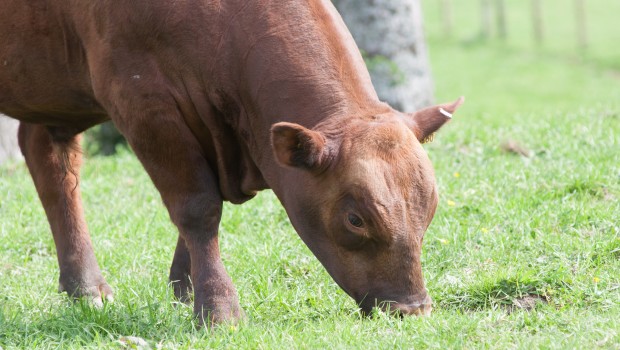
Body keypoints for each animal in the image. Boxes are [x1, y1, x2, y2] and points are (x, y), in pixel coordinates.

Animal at [0, 0, 460, 326]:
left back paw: (84, 287)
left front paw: (184, 290)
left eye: (430, 208)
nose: (412, 309)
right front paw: (218, 309)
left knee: (50, 162)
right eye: (355, 219)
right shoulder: (144, 104)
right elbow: (198, 208)